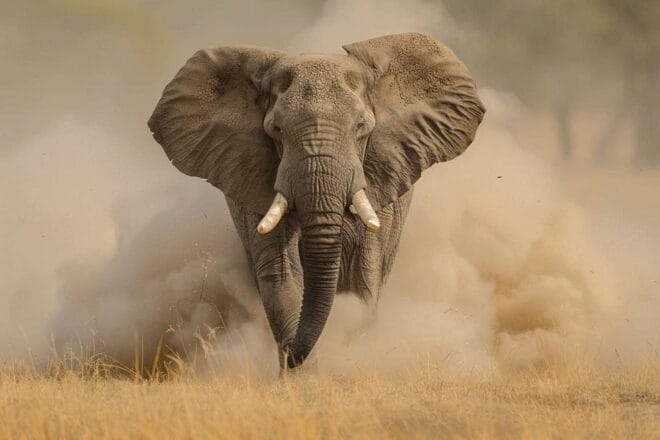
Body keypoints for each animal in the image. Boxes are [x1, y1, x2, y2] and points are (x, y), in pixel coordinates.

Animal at [148, 33, 485, 371]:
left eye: (360, 127)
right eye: (277, 130)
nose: (293, 358)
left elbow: (362, 276)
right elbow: (283, 276)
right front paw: (299, 375)